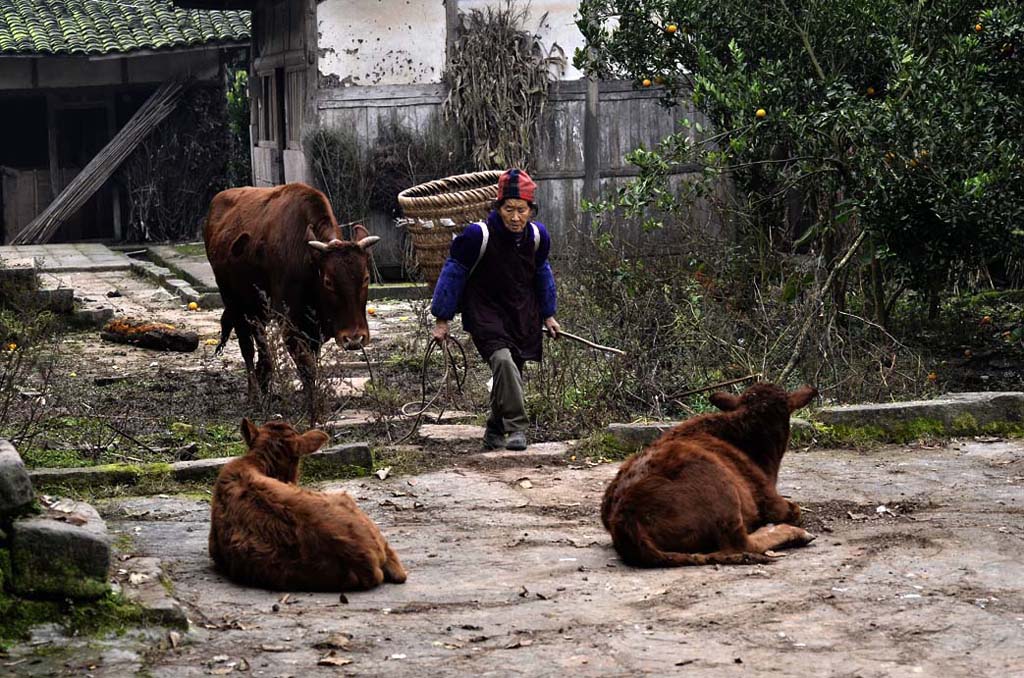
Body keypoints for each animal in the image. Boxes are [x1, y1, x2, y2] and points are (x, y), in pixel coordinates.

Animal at [201, 183, 378, 401]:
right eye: (328, 281)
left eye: (366, 278)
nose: (354, 339)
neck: (309, 263)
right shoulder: (289, 325)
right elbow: (306, 367)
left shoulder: (313, 330)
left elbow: (312, 364)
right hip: (235, 304)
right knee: (247, 347)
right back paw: (254, 394)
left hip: (257, 310)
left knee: (262, 347)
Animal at [598, 383, 815, 569]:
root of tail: (626, 519)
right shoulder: (770, 500)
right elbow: (795, 510)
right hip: (723, 490)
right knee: (740, 543)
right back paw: (794, 533)